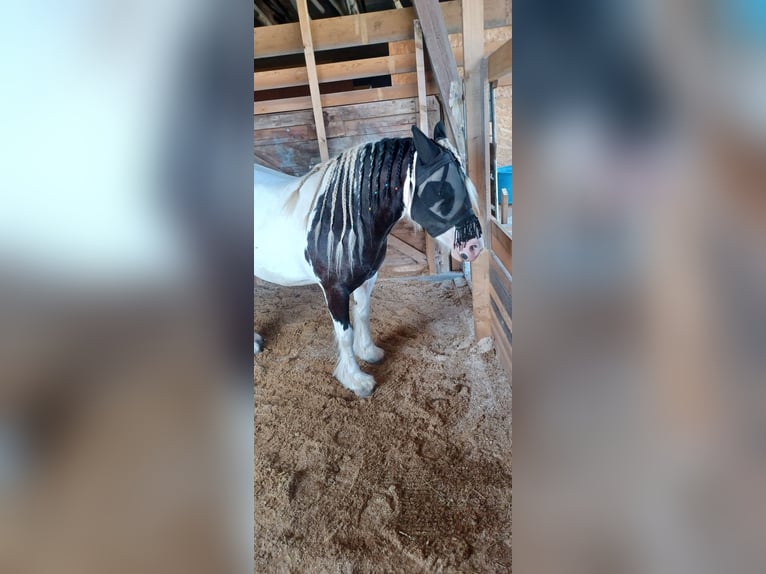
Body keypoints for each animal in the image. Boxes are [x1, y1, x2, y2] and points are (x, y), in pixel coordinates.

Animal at [256, 124, 486, 398]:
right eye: (440, 189)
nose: (475, 247)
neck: (341, 219)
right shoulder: (335, 289)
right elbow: (345, 334)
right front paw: (357, 380)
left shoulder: (368, 278)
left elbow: (363, 313)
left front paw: (369, 352)